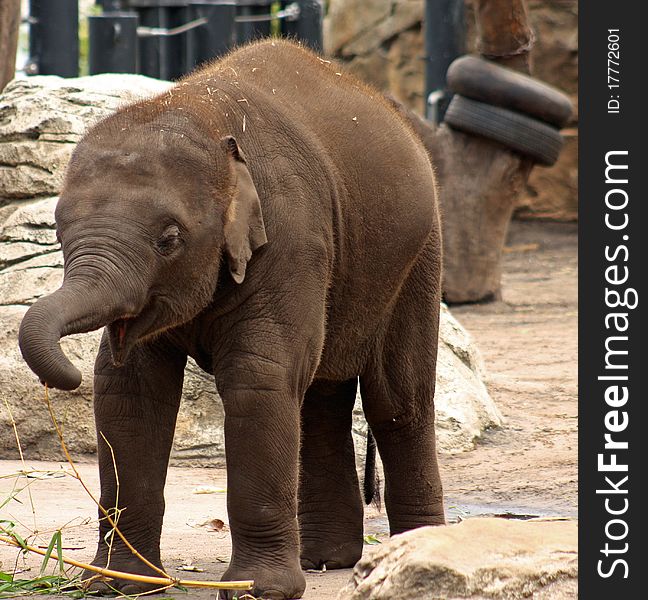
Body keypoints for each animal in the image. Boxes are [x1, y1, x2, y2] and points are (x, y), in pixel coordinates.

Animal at [19, 39, 446, 596]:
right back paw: (325, 560)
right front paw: (120, 583)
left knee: (397, 401)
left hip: (418, 257)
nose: (64, 376)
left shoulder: (291, 237)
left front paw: (257, 590)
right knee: (318, 397)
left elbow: (256, 376)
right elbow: (128, 390)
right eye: (57, 230)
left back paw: (417, 551)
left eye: (169, 239)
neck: (203, 115)